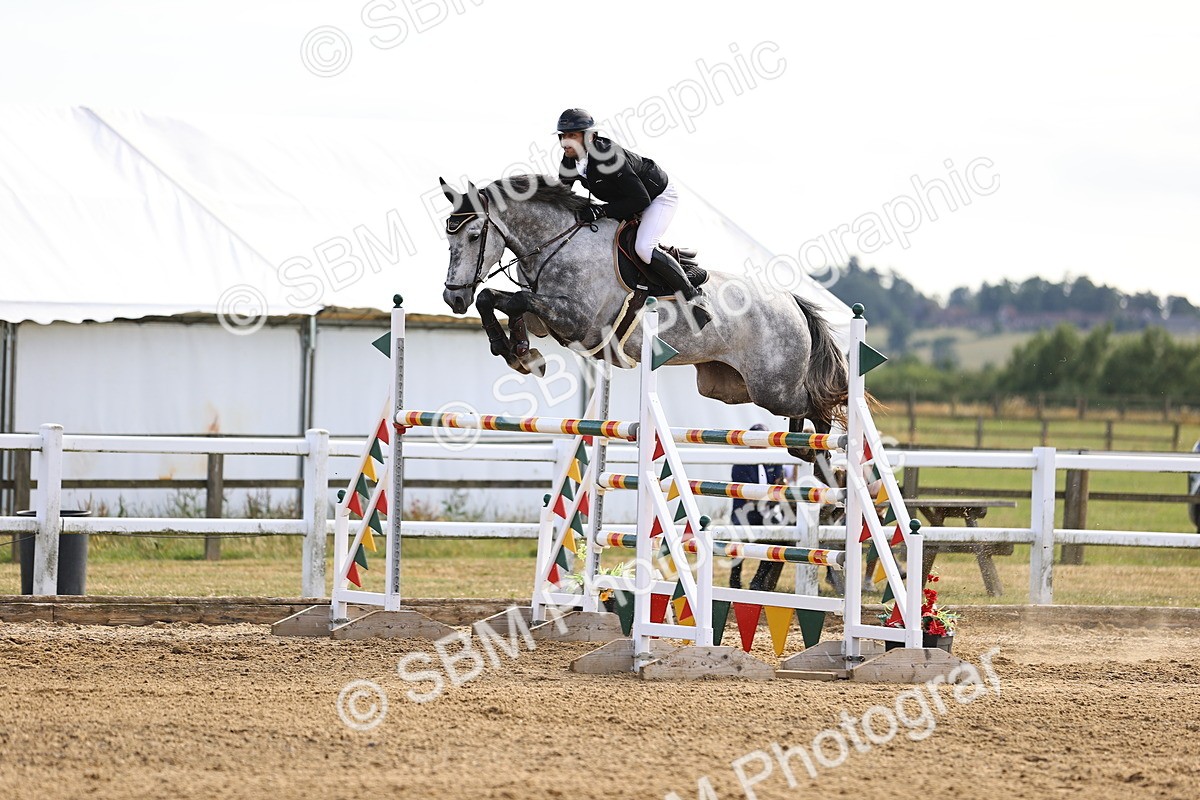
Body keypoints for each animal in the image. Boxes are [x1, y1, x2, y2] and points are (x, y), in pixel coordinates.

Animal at [437, 174, 848, 459]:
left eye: (473, 236)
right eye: (448, 239)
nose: (453, 297)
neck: (559, 241)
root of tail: (791, 301)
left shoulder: (575, 320)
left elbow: (511, 299)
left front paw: (518, 354)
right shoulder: (547, 318)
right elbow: (502, 301)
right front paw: (521, 354)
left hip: (773, 387)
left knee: (817, 405)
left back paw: (827, 465)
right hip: (728, 388)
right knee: (802, 421)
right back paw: (813, 459)